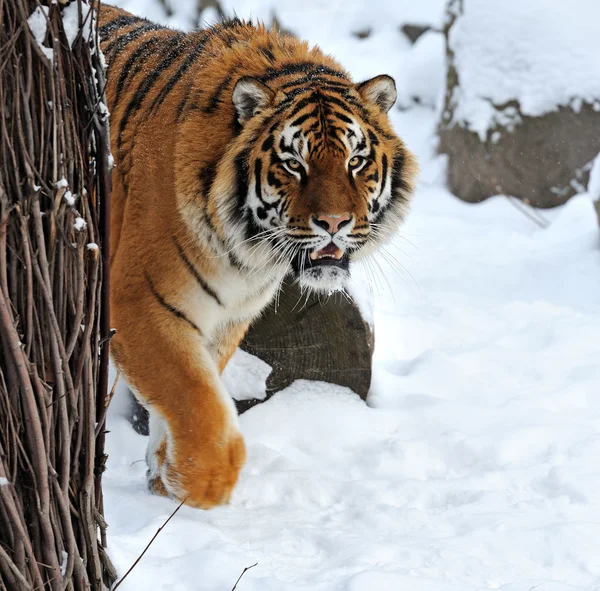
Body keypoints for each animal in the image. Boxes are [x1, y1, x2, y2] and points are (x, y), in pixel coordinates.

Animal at [97, 2, 418, 508]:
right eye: (294, 164)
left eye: (355, 161)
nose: (334, 223)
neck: (245, 254)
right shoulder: (137, 301)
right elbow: (194, 397)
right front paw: (201, 483)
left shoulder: (226, 315)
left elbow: (196, 389)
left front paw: (165, 478)